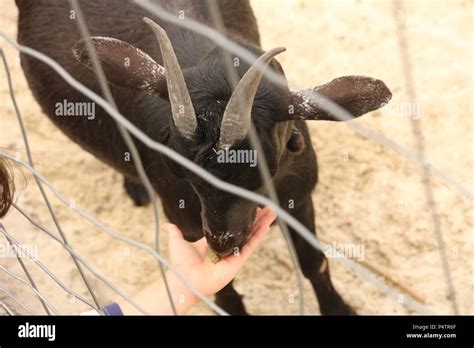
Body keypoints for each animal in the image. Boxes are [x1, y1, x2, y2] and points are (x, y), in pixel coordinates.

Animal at [16, 0, 390, 314]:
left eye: (264, 171)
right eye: (180, 171)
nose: (223, 244)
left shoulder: (299, 194)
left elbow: (313, 261)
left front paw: (340, 310)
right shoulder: (182, 216)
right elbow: (218, 286)